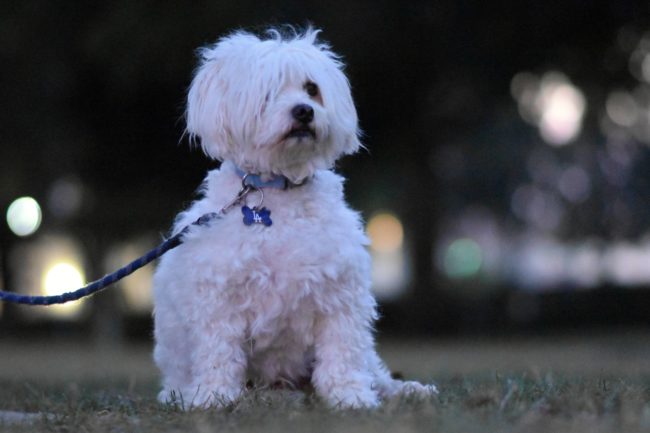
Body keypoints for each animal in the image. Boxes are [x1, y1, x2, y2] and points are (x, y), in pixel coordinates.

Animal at [152, 27, 436, 408]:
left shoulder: (339, 293)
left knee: (375, 371)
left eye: (312, 89)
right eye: (268, 92)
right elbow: (218, 352)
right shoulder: (220, 299)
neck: (278, 188)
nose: (304, 111)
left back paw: (407, 390)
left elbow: (342, 350)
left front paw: (349, 395)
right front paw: (214, 395)